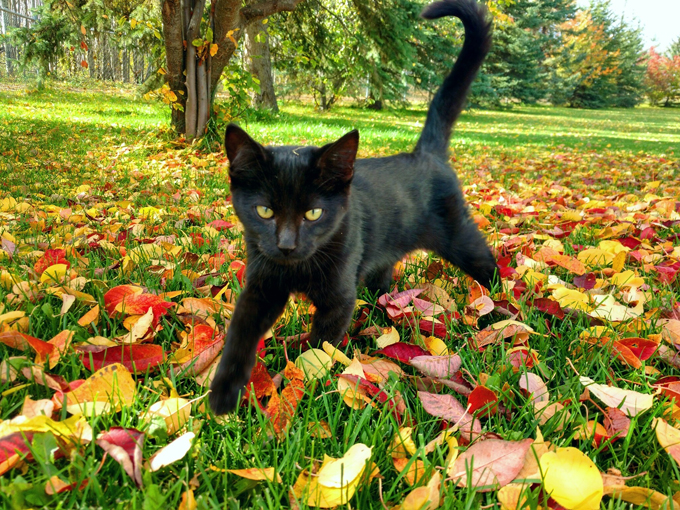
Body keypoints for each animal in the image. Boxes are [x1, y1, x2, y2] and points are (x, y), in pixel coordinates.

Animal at [210, 0, 496, 414]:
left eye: (313, 213)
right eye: (264, 211)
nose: (286, 245)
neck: (298, 268)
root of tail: (425, 154)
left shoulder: (339, 298)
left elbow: (319, 346)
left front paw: (301, 383)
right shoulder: (262, 282)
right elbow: (240, 332)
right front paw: (222, 394)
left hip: (458, 235)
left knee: (487, 263)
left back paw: (498, 314)